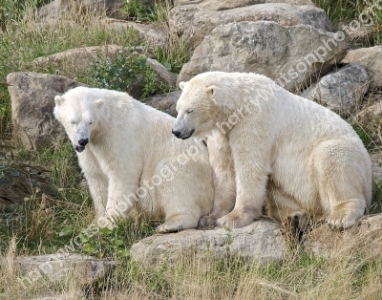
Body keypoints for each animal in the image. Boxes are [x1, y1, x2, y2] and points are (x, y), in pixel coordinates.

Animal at [53, 86, 215, 232]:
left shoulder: (118, 135)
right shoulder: (91, 150)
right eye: (73, 121)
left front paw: (109, 223)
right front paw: (97, 221)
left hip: (194, 172)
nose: (82, 141)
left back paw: (170, 224)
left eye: (90, 121)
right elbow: (97, 178)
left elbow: (122, 174)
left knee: (171, 177)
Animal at [172, 71, 372, 230]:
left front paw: (233, 218)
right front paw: (210, 218)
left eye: (190, 110)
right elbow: (224, 171)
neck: (240, 104)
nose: (176, 131)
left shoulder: (255, 122)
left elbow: (250, 167)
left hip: (347, 157)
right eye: (178, 108)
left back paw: (340, 217)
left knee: (332, 158)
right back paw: (294, 215)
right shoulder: (223, 132)